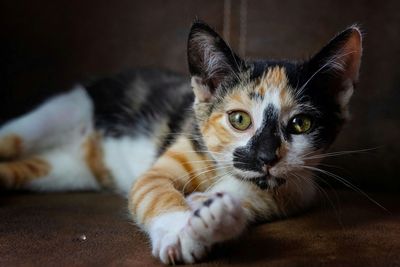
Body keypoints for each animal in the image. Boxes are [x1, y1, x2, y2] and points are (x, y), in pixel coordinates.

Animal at [0, 21, 362, 264]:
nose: (265, 157)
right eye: (239, 119)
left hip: (65, 172)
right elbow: (153, 189)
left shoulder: (298, 187)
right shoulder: (175, 151)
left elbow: (258, 199)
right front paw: (177, 230)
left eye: (301, 124)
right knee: (14, 137)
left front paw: (216, 216)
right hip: (63, 110)